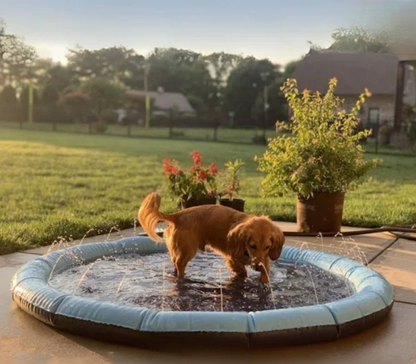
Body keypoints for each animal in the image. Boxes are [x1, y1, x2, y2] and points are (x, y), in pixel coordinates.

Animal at [138, 192, 284, 282]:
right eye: (252, 246)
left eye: (268, 247)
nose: (258, 267)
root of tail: (177, 215)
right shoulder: (232, 258)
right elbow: (242, 271)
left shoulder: (265, 260)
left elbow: (265, 274)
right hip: (188, 250)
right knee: (180, 265)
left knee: (175, 263)